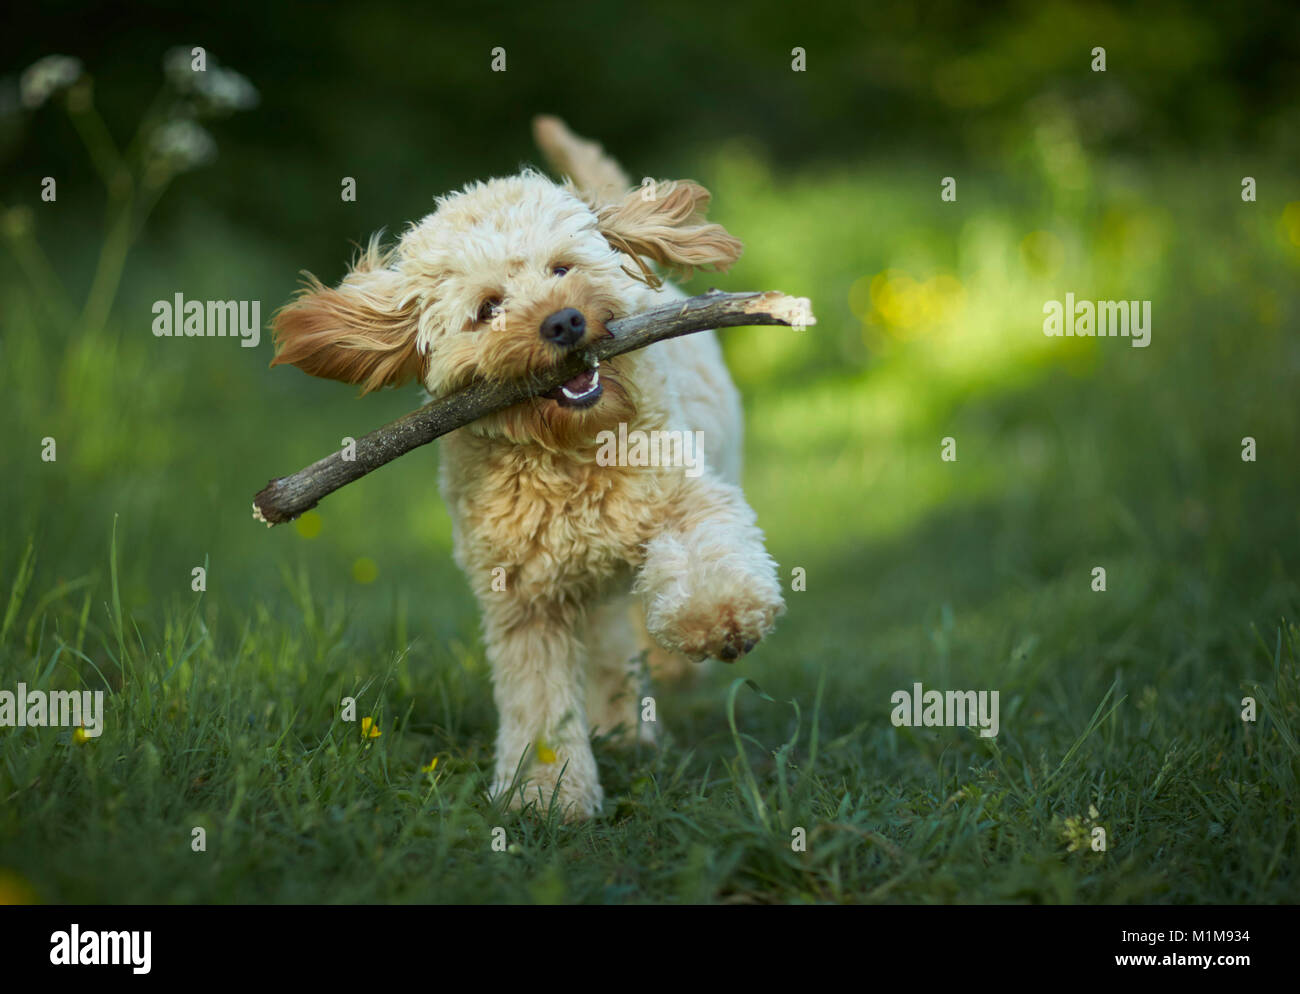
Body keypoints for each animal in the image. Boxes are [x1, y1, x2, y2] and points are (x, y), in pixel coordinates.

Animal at [269, 116, 785, 815]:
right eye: (489, 307)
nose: (563, 322)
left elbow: (706, 553)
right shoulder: (523, 597)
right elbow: (539, 700)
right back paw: (622, 726)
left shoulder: (685, 494)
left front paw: (717, 622)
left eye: (562, 266)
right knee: (607, 641)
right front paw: (547, 794)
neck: (568, 451)